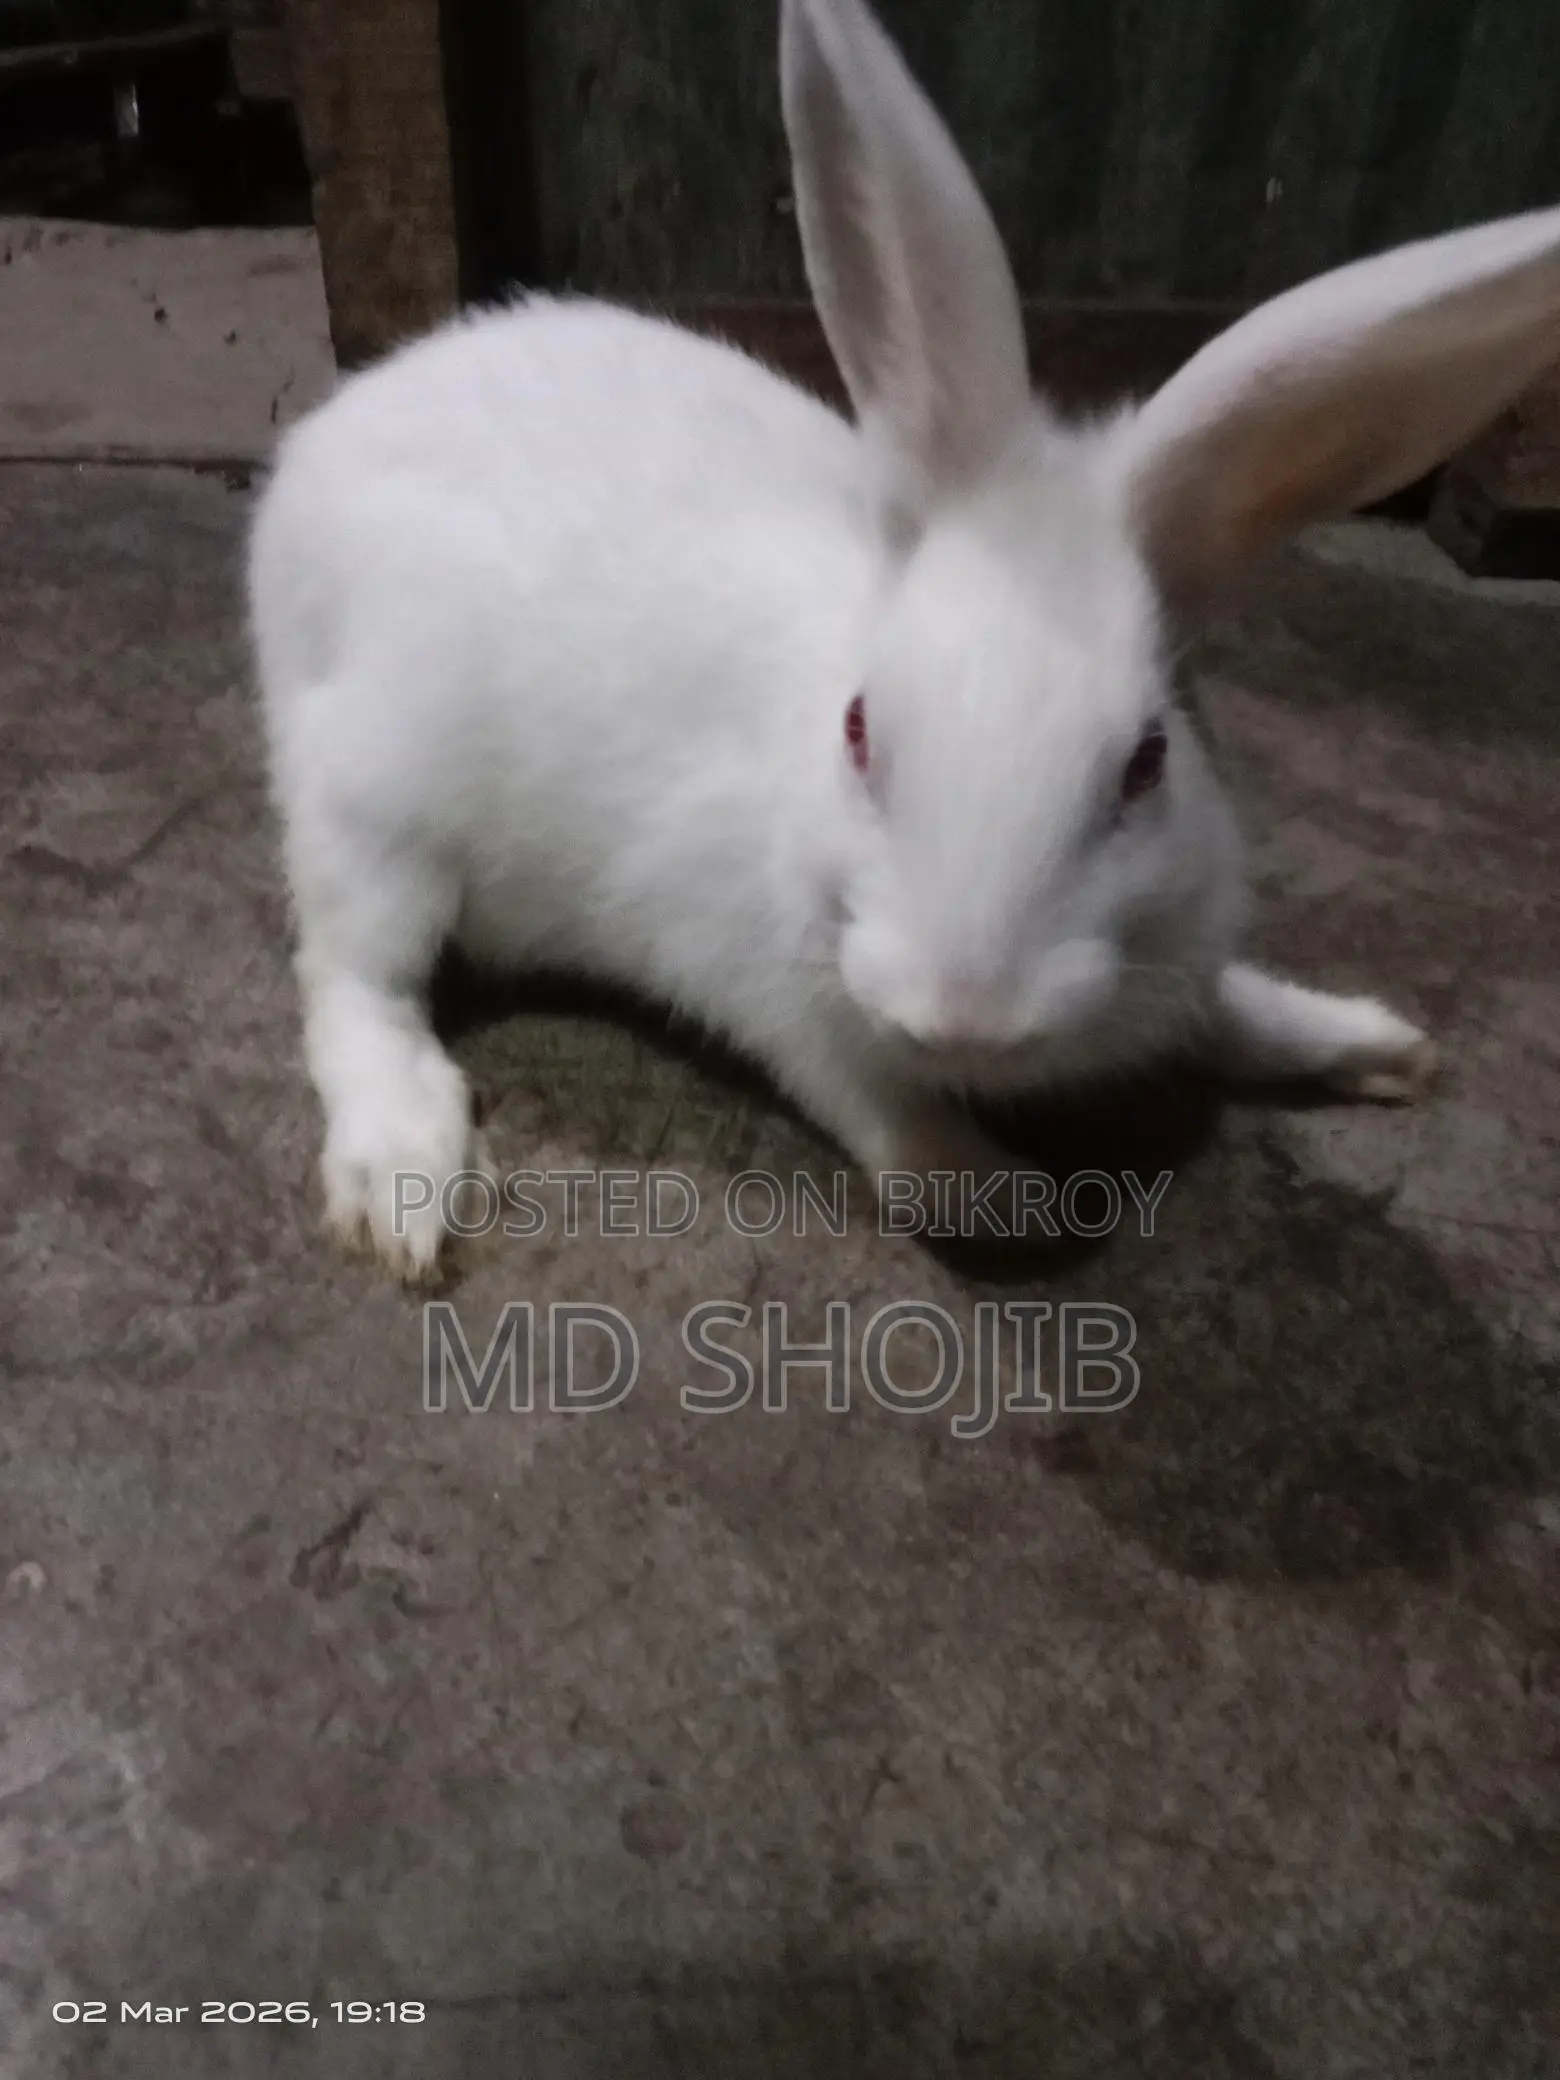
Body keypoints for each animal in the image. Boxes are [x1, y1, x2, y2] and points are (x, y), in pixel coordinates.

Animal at [248, 0, 1560, 1283]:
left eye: (1147, 764)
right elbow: (895, 1131)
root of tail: (318, 452)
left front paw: (1375, 1046)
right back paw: (403, 1184)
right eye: (861, 729)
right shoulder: (780, 993)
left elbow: (1232, 1006)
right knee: (353, 979)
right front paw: (1017, 1199)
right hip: (379, 809)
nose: (963, 1011)